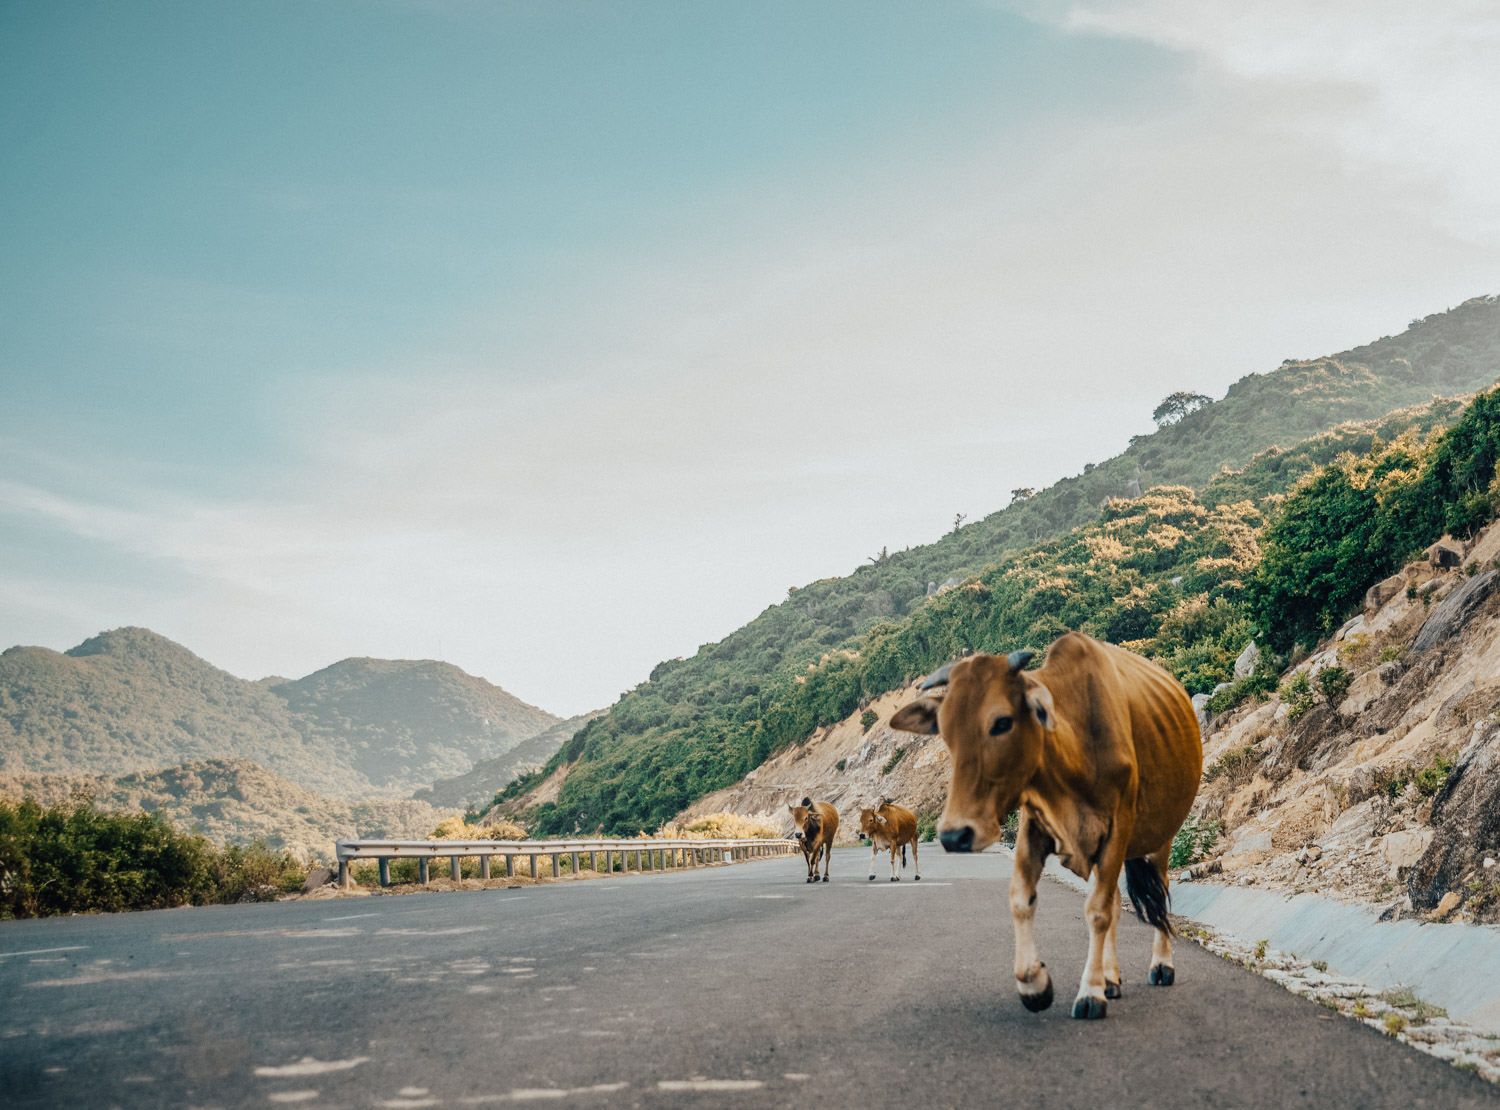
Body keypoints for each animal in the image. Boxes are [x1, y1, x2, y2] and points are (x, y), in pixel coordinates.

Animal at [889, 632, 1201, 1021]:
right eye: (945, 731)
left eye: (1002, 722)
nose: (955, 834)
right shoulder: (1036, 825)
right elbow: (1022, 899)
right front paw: (1034, 983)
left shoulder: (1118, 827)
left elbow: (1097, 911)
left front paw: (1089, 993)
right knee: (1117, 901)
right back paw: (1111, 978)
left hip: (1160, 837)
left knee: (1158, 890)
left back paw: (1160, 965)